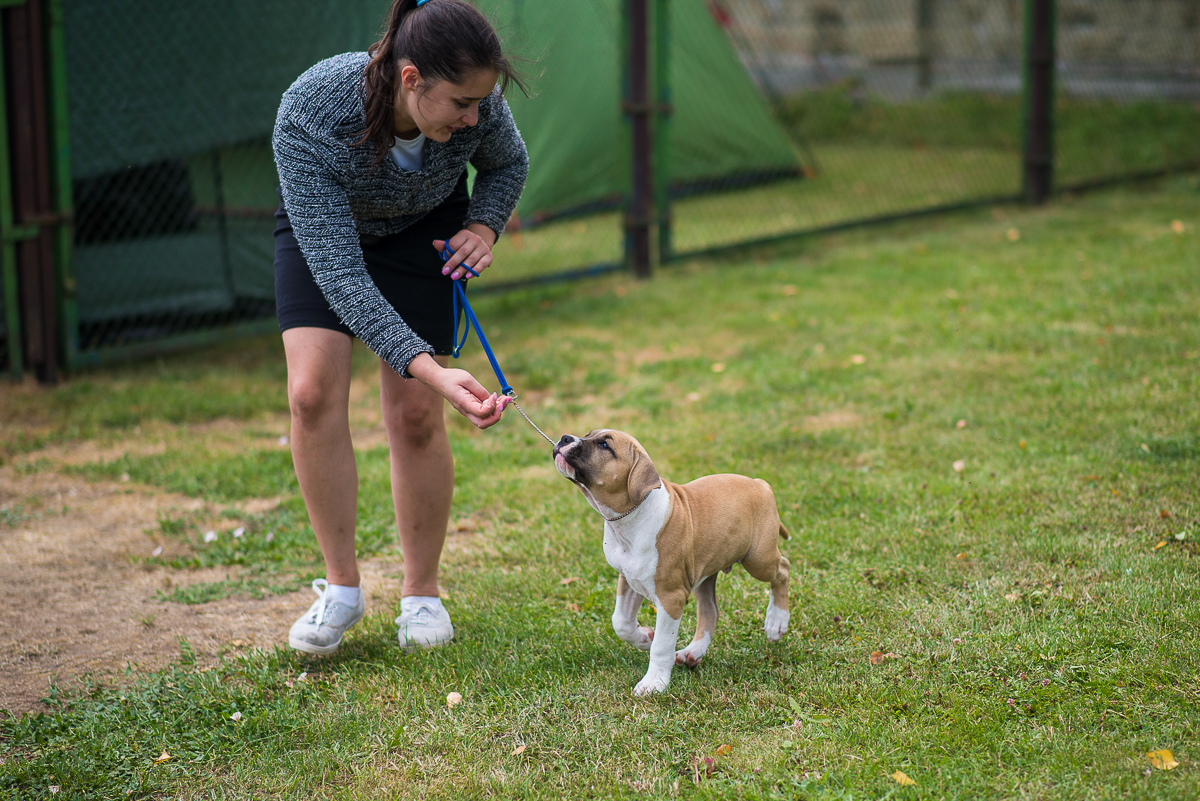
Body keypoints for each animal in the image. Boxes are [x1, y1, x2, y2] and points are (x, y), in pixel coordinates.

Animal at [549, 424, 787, 695]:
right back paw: (693, 652)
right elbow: (621, 621)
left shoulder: (670, 597)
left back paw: (777, 622)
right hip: (704, 572)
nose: (565, 438)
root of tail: (760, 483)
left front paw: (653, 683)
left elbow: (662, 645)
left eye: (605, 446)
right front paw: (643, 638)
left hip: (758, 559)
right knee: (710, 611)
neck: (630, 517)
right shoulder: (630, 578)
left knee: (783, 570)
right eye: (589, 434)